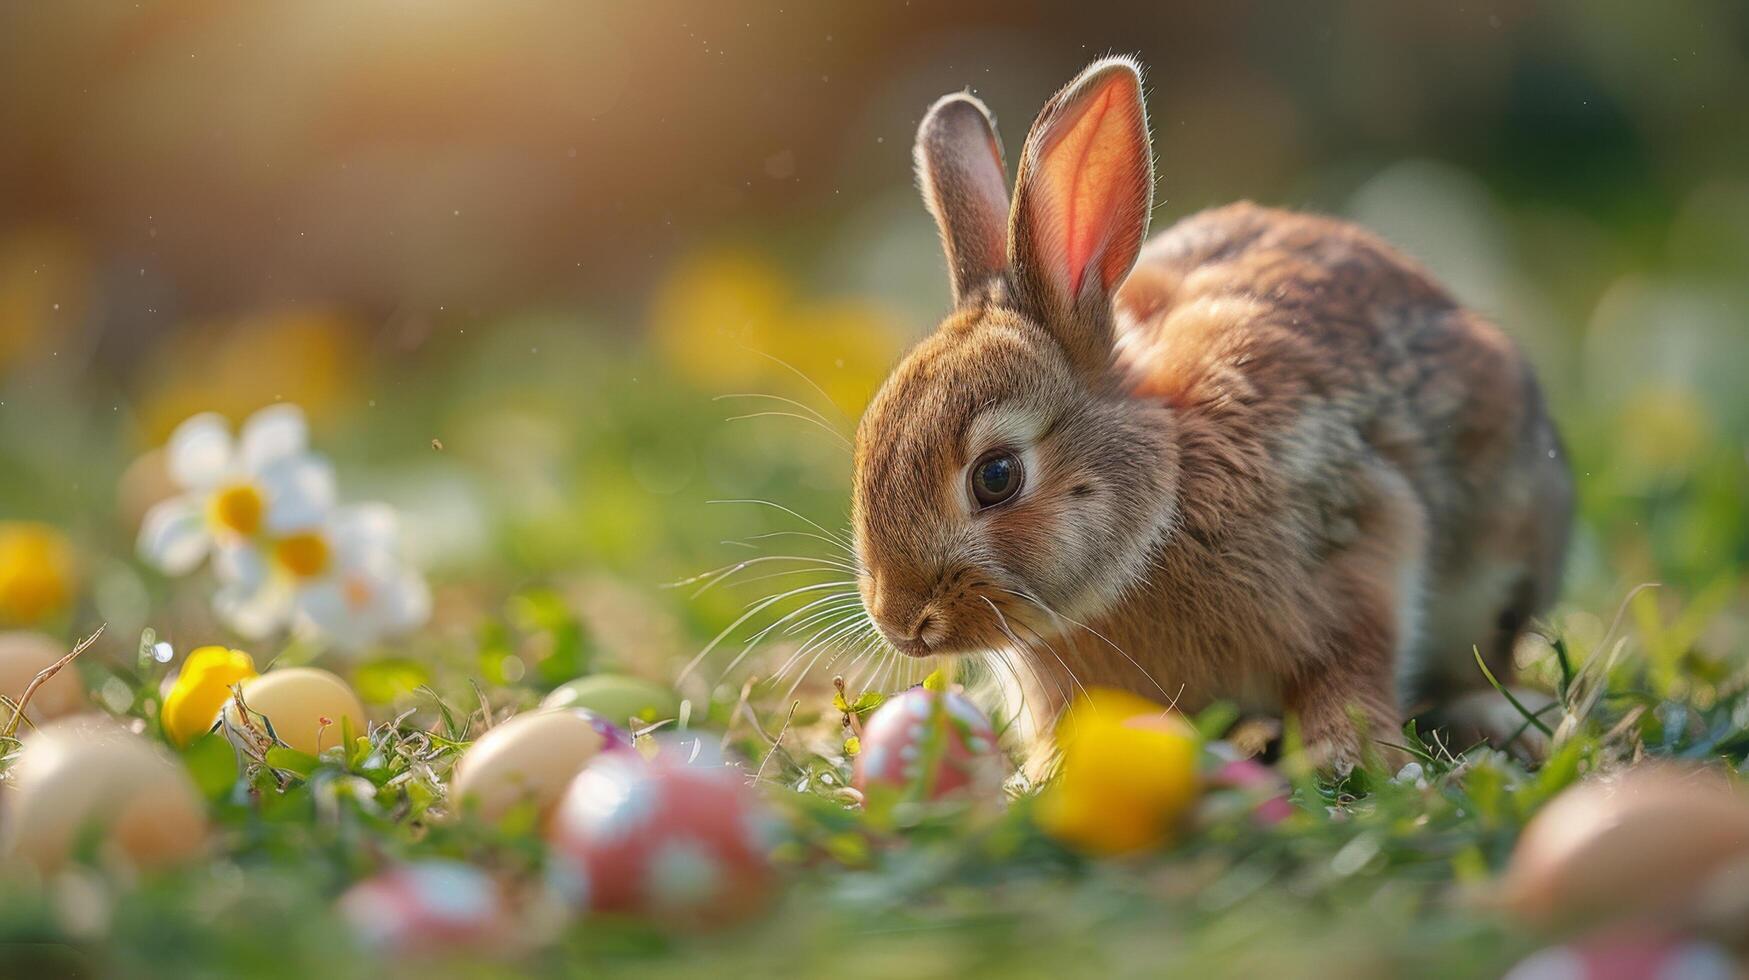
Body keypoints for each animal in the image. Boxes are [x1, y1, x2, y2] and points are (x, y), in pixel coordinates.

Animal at [853, 57, 1581, 777]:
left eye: (996, 476)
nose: (902, 623)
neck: (1164, 495)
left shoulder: (1359, 547)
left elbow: (1352, 664)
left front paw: (1346, 756)